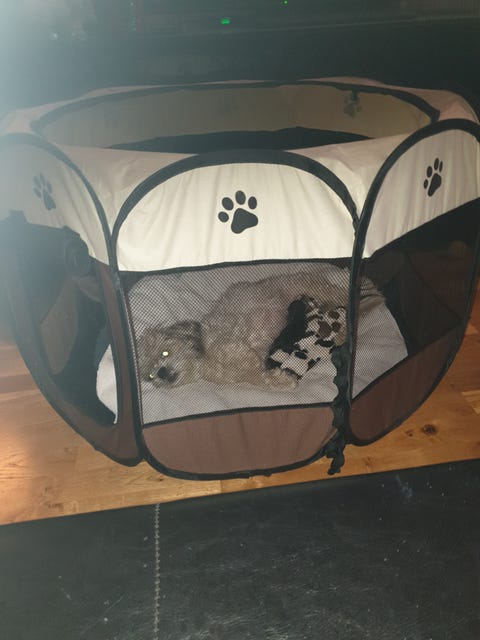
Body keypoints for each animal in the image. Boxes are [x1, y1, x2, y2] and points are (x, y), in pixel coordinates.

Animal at [137, 268, 377, 390]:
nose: (161, 373)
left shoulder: (231, 340)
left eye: (164, 352)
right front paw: (279, 380)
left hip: (323, 291)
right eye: (149, 375)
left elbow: (247, 361)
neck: (205, 362)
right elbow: (257, 378)